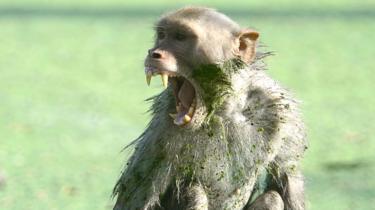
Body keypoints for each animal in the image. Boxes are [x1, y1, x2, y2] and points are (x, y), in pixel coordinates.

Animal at [114, 6, 308, 210]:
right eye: (162, 35)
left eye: (180, 37)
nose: (154, 53)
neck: (223, 109)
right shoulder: (163, 125)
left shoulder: (282, 112)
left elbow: (288, 175)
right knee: (195, 193)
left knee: (272, 198)